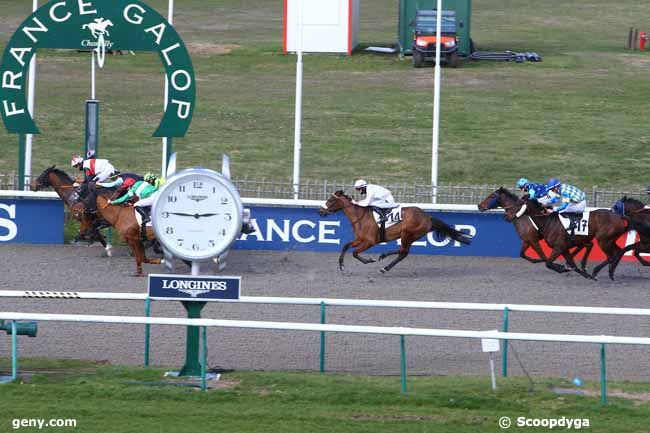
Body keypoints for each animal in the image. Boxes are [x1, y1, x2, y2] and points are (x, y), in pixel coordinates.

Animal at [316, 190, 470, 272]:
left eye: (330, 200)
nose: (321, 211)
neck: (360, 216)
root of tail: (428, 217)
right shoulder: (360, 239)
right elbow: (346, 246)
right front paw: (341, 265)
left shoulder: (369, 241)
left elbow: (354, 253)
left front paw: (369, 260)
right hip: (410, 236)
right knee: (402, 252)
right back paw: (383, 257)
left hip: (407, 233)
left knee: (403, 252)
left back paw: (384, 266)